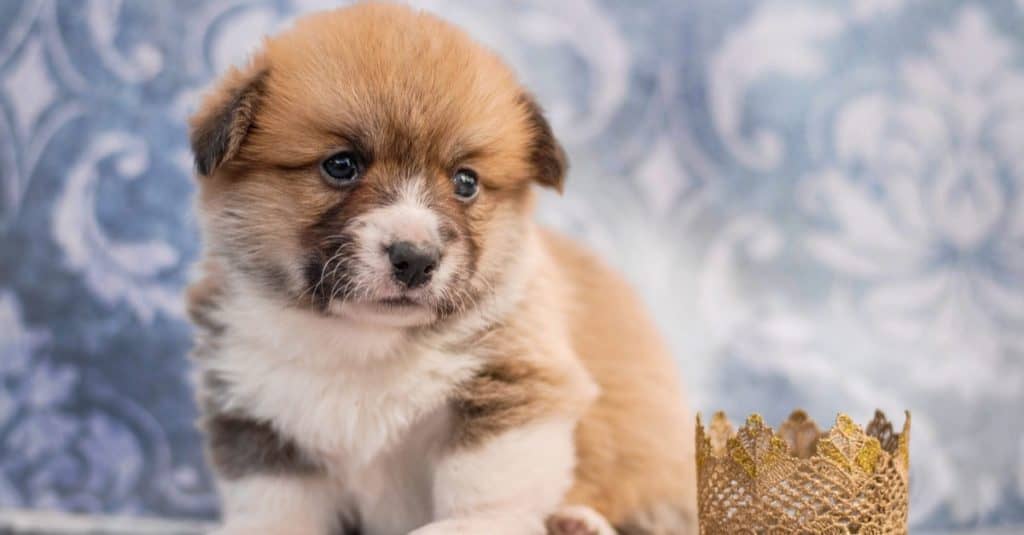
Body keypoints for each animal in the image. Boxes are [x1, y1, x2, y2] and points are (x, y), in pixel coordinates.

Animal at [186, 4, 696, 532]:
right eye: (341, 165)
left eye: (466, 181)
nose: (415, 259)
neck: (365, 342)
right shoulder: (258, 423)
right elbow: (276, 510)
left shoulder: (513, 386)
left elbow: (488, 490)